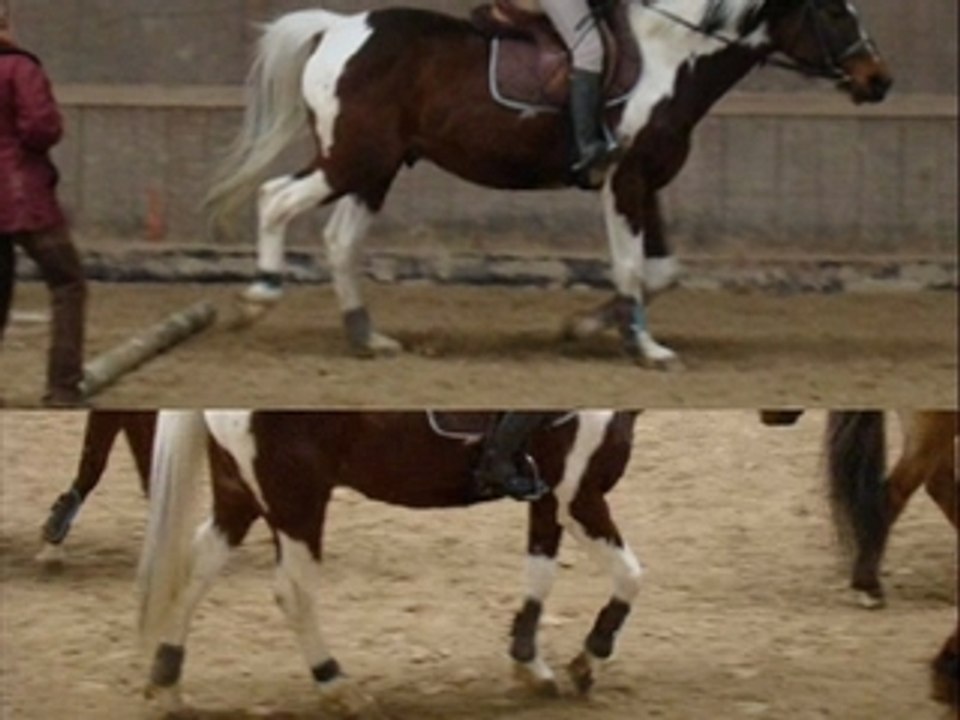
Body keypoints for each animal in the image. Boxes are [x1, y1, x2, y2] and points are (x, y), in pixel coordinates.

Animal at [138, 410, 641, 717]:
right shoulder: (578, 496)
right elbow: (631, 575)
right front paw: (588, 660)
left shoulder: (550, 500)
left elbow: (540, 576)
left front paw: (530, 665)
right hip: (296, 501)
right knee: (293, 593)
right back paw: (338, 686)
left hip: (239, 494)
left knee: (198, 565)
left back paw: (167, 680)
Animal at [205, 0, 891, 368]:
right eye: (835, 10)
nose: (878, 80)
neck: (673, 58)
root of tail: (339, 28)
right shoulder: (624, 179)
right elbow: (631, 267)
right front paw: (645, 348)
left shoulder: (647, 181)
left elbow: (661, 270)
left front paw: (586, 327)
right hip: (353, 157)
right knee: (274, 199)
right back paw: (259, 296)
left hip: (377, 167)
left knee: (341, 241)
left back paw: (366, 336)